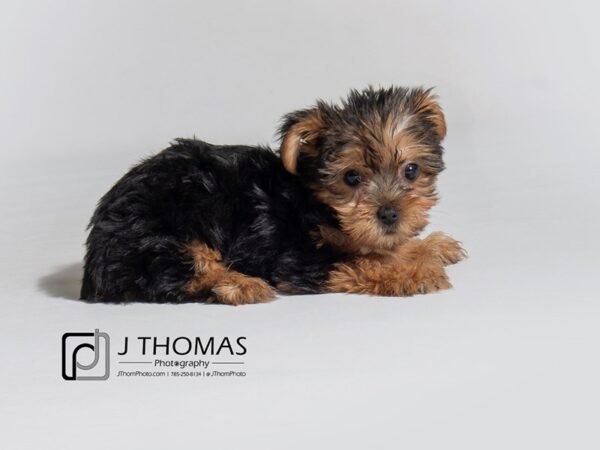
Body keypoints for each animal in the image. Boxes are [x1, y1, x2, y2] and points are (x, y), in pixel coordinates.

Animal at [81, 87, 464, 306]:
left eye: (411, 171)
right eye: (352, 177)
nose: (389, 214)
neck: (317, 202)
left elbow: (379, 248)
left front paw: (430, 247)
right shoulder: (293, 256)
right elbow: (360, 261)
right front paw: (413, 273)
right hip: (162, 228)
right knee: (175, 273)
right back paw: (241, 284)